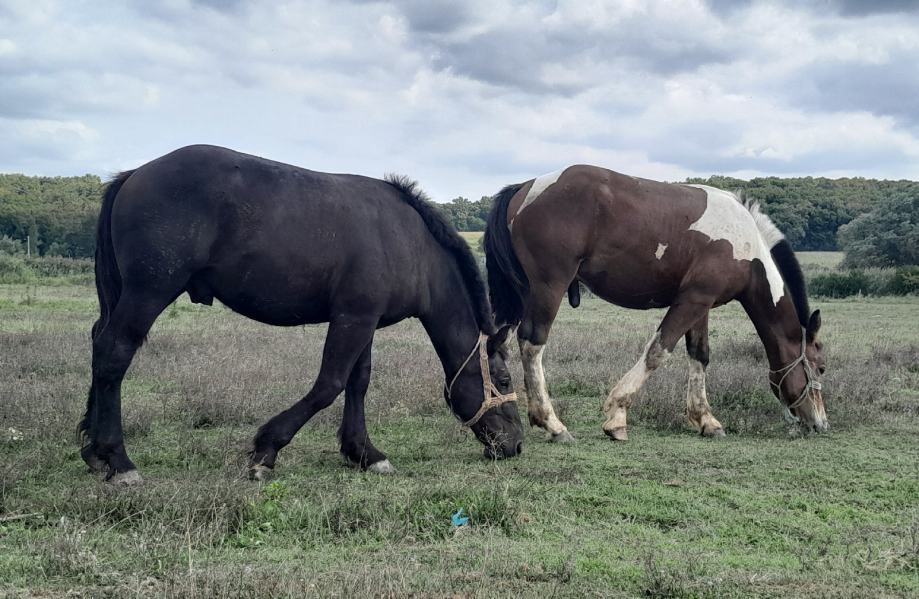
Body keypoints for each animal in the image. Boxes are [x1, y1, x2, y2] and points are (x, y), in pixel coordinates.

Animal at [79, 146, 524, 488]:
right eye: (503, 381)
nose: (516, 444)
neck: (411, 244)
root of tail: (134, 174)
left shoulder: (366, 322)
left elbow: (358, 383)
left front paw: (364, 452)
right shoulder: (351, 319)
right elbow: (329, 385)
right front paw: (267, 449)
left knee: (100, 345)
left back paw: (94, 451)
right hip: (148, 293)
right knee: (114, 354)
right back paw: (119, 461)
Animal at [486, 166, 832, 442]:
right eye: (821, 368)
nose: (820, 423)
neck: (745, 243)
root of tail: (527, 187)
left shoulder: (701, 303)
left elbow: (700, 356)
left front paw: (706, 419)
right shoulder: (691, 300)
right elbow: (657, 351)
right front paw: (617, 415)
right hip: (549, 288)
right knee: (532, 345)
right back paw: (552, 424)